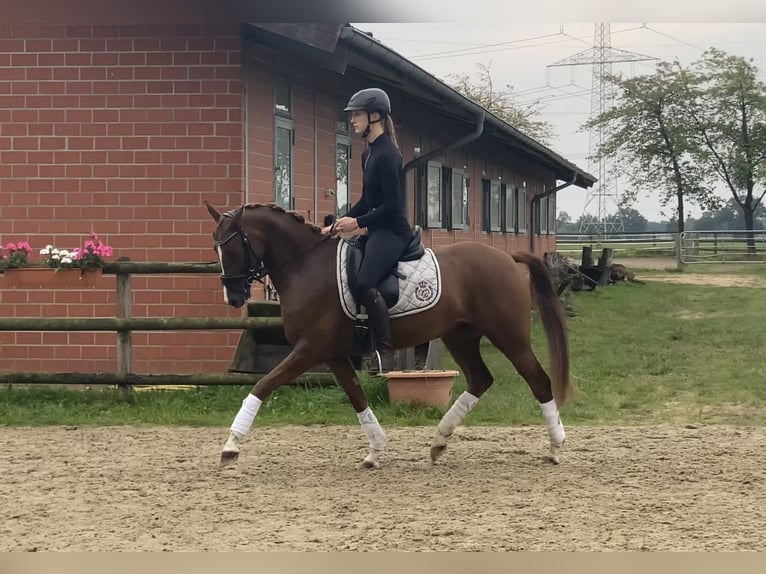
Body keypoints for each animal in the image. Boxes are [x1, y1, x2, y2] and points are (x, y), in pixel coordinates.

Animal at [207, 205, 572, 470]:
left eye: (233, 246)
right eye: (216, 246)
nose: (233, 298)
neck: (306, 265)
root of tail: (507, 258)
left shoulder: (310, 348)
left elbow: (262, 385)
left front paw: (230, 446)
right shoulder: (333, 353)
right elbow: (357, 397)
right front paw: (374, 451)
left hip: (509, 336)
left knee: (538, 381)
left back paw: (555, 448)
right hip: (460, 337)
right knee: (481, 379)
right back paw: (439, 442)